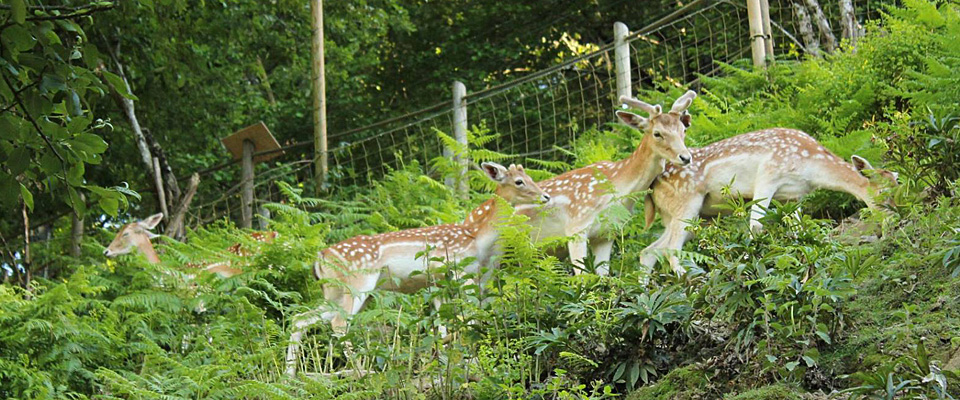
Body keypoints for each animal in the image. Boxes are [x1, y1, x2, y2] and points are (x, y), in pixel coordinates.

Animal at [284, 161, 548, 376]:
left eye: (530, 176)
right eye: (519, 181)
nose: (545, 196)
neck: (477, 238)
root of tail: (320, 258)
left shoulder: (440, 280)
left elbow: (443, 324)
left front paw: (445, 363)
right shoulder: (460, 270)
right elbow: (469, 316)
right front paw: (471, 361)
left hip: (334, 291)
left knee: (301, 318)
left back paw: (290, 375)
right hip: (358, 283)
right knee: (338, 323)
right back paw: (362, 372)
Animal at [520, 90, 692, 276]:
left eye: (683, 129)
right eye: (657, 133)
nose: (685, 157)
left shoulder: (606, 234)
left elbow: (604, 277)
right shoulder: (576, 226)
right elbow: (582, 278)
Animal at [636, 126, 900, 274]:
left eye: (899, 187)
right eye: (882, 193)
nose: (895, 217)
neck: (810, 166)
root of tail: (652, 189)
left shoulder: (792, 197)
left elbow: (798, 231)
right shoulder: (767, 176)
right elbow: (755, 226)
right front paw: (749, 264)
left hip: (682, 216)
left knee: (649, 251)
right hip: (687, 203)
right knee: (670, 249)